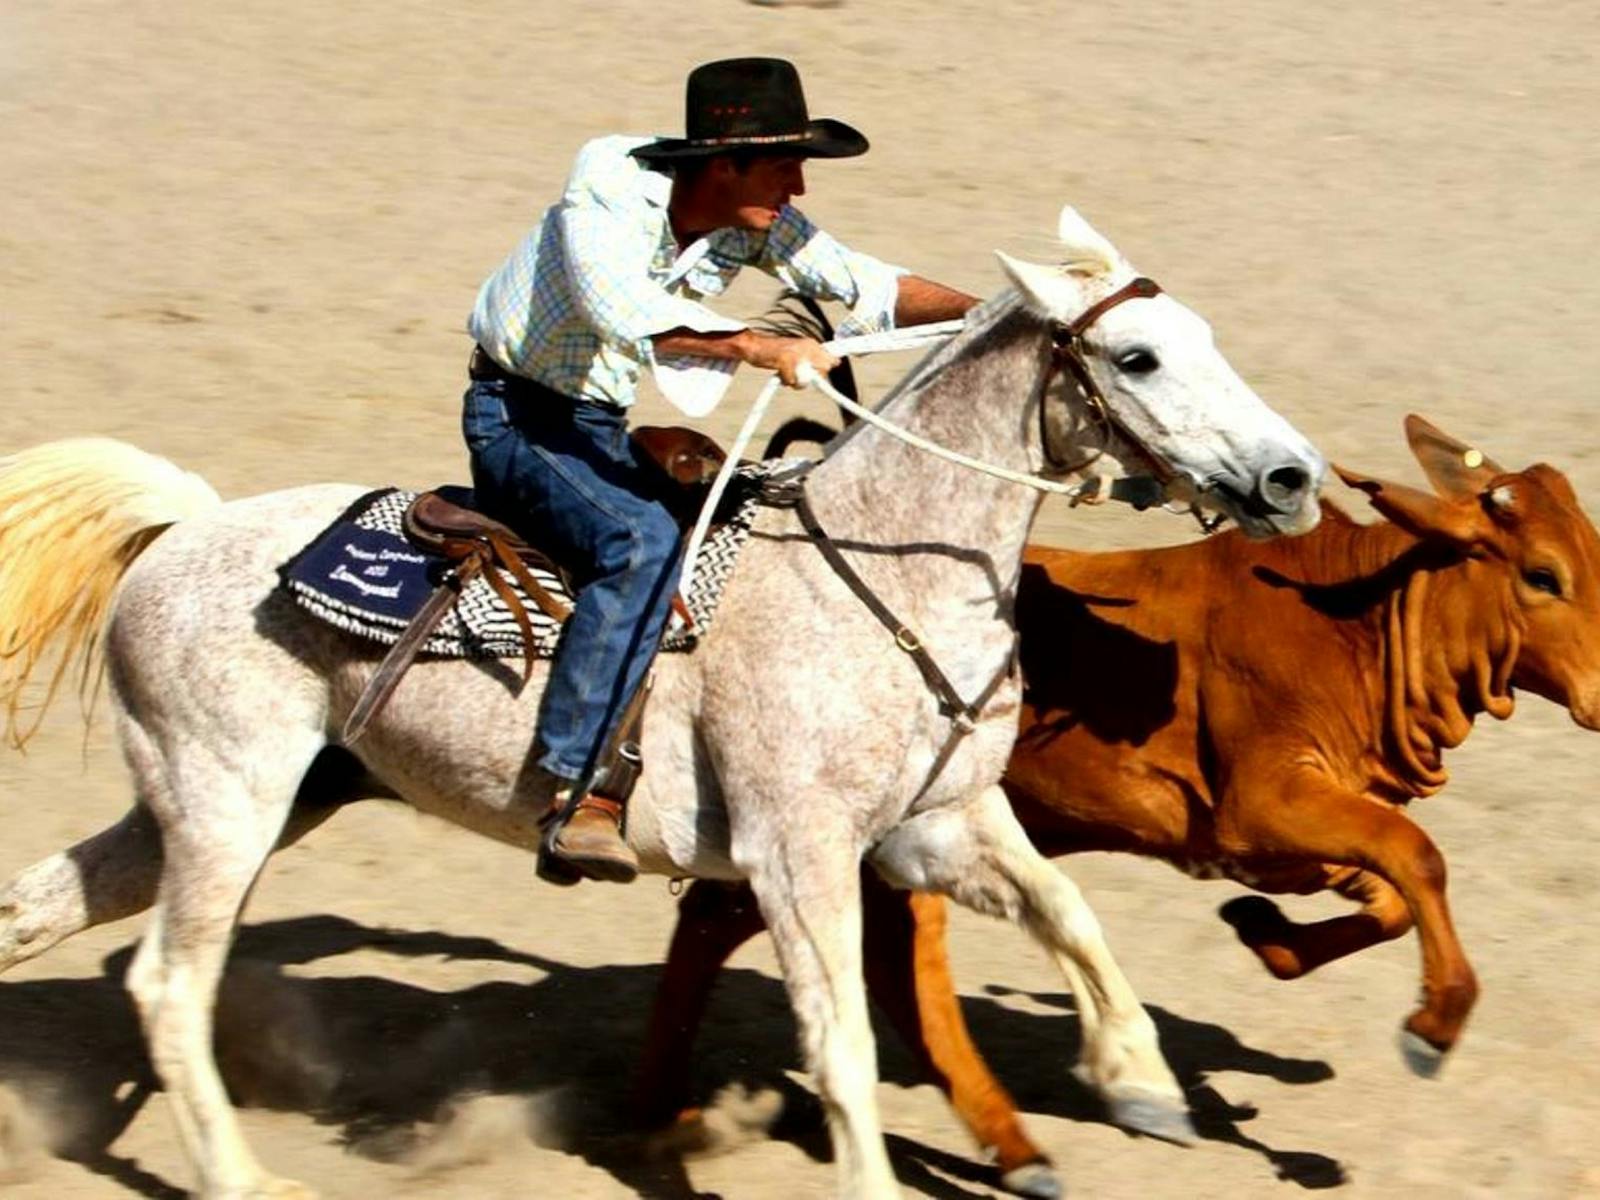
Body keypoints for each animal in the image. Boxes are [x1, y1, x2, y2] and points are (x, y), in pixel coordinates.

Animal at [0, 211, 1324, 1196]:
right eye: (1137, 358)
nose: (1290, 477)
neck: (874, 571)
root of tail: (184, 528)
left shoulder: (934, 825)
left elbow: (1069, 915)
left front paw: (1141, 1083)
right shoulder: (799, 851)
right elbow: (840, 1041)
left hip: (234, 800)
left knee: (40, 911)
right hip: (228, 802)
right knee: (172, 984)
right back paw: (239, 1178)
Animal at [633, 419, 1600, 1196]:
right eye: (1542, 576)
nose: (1599, 695)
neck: (1351, 628)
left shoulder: (1302, 838)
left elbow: (1392, 893)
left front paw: (1268, 937)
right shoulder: (1264, 807)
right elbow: (1415, 856)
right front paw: (1434, 1024)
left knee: (773, 933)